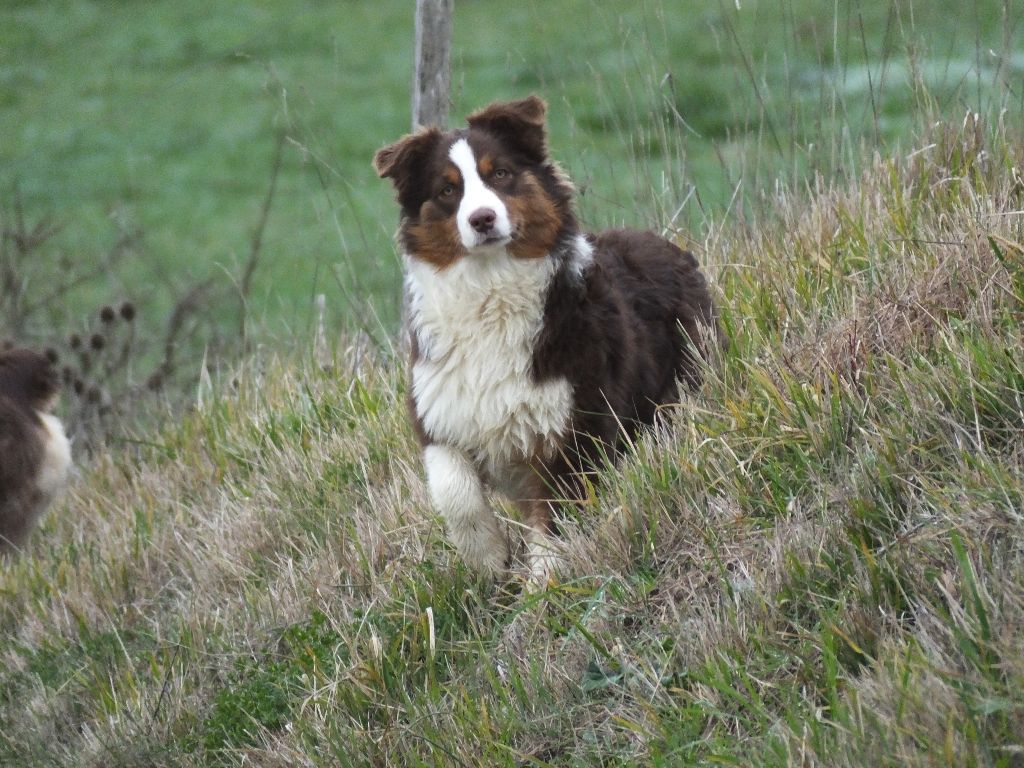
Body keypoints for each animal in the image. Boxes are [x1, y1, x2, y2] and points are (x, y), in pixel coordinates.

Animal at [376, 96, 720, 585]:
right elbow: (453, 491)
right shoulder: (439, 409)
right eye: (447, 190)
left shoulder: (575, 425)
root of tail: (668, 244)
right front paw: (487, 557)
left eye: (500, 173)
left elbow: (556, 516)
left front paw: (543, 586)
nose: (482, 218)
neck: (490, 290)